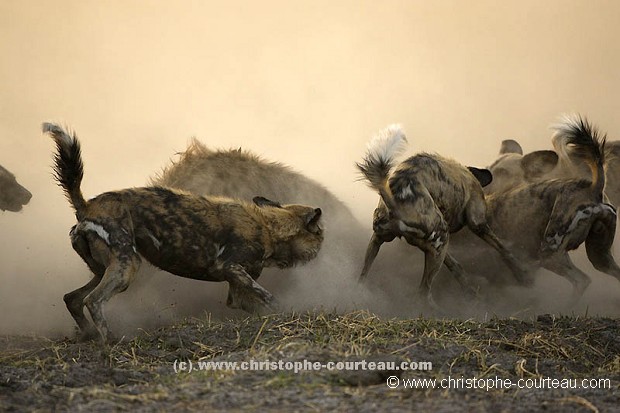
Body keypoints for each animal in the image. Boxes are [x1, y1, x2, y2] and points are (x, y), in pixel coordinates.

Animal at [43, 122, 324, 342]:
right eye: (321, 234)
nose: (322, 249)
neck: (268, 226)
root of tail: (87, 204)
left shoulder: (237, 287)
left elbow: (254, 303)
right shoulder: (230, 267)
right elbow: (268, 296)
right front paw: (288, 310)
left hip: (106, 268)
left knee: (72, 298)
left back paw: (88, 335)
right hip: (127, 265)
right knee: (93, 300)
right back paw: (112, 340)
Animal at [358, 124, 528, 304]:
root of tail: (394, 199)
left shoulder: (436, 249)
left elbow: (455, 266)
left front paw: (469, 290)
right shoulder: (477, 222)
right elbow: (503, 249)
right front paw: (523, 276)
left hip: (382, 240)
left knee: (362, 276)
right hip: (442, 236)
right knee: (423, 292)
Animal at [484, 114, 620, 300]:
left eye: (503, 173)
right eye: (487, 168)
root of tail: (593, 187)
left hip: (549, 253)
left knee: (581, 280)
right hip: (600, 257)